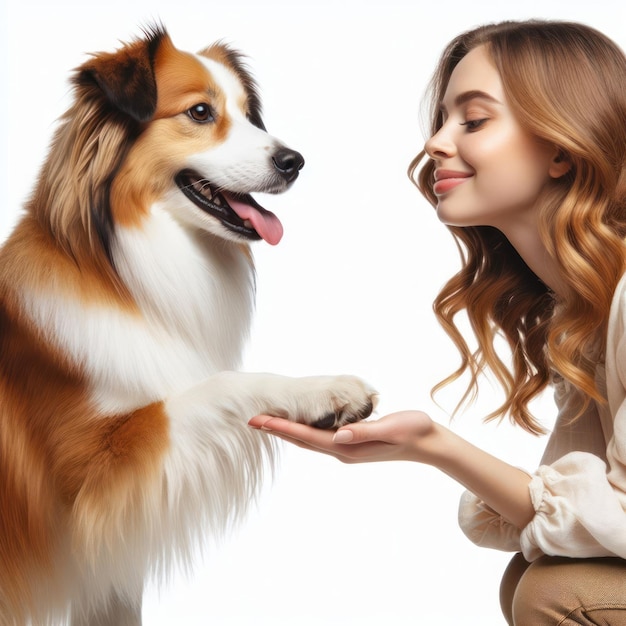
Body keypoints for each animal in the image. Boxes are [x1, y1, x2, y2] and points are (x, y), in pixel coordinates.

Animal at [0, 26, 372, 620]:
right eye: (200, 112)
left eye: (249, 114)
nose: (294, 161)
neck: (119, 274)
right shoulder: (93, 480)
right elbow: (222, 385)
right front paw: (324, 390)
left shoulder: (107, 564)